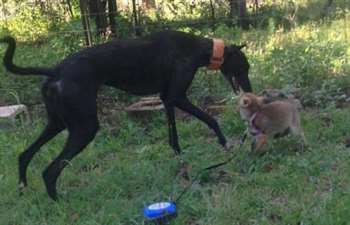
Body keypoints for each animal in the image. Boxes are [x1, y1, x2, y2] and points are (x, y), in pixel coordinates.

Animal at [0, 30, 252, 200]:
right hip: (84, 128)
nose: (250, 91)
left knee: (24, 154)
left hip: (58, 123)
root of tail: (56, 70)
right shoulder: (178, 97)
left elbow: (174, 139)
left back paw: (23, 188)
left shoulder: (167, 99)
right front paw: (224, 142)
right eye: (244, 67)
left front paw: (182, 166)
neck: (198, 48)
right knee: (49, 171)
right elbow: (211, 119)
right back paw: (60, 202)